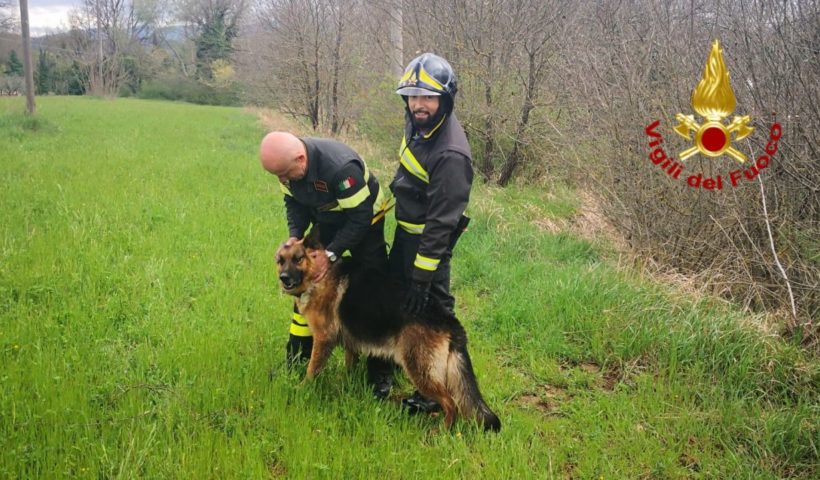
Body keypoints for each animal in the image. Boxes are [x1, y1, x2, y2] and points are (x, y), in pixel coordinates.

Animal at [278, 232, 500, 432]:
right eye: (281, 261)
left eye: (298, 259)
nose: (283, 278)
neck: (320, 275)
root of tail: (448, 319)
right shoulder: (350, 343)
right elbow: (349, 367)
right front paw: (346, 386)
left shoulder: (323, 339)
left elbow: (312, 369)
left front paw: (301, 389)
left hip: (419, 368)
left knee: (451, 403)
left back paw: (442, 430)